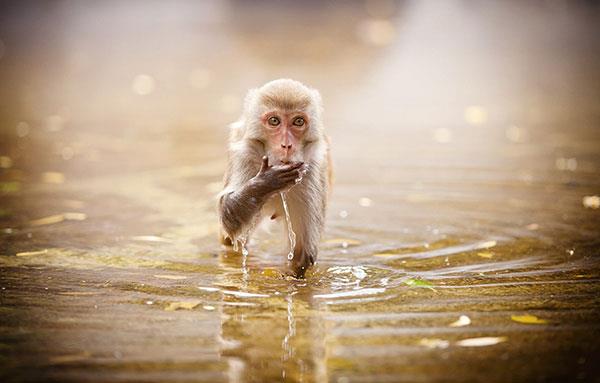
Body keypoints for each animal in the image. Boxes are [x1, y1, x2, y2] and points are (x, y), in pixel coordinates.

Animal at [217, 79, 332, 280]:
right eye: (274, 121)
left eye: (298, 121)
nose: (286, 145)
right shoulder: (244, 155)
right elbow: (228, 214)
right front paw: (266, 182)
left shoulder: (313, 168)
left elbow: (302, 253)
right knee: (229, 240)